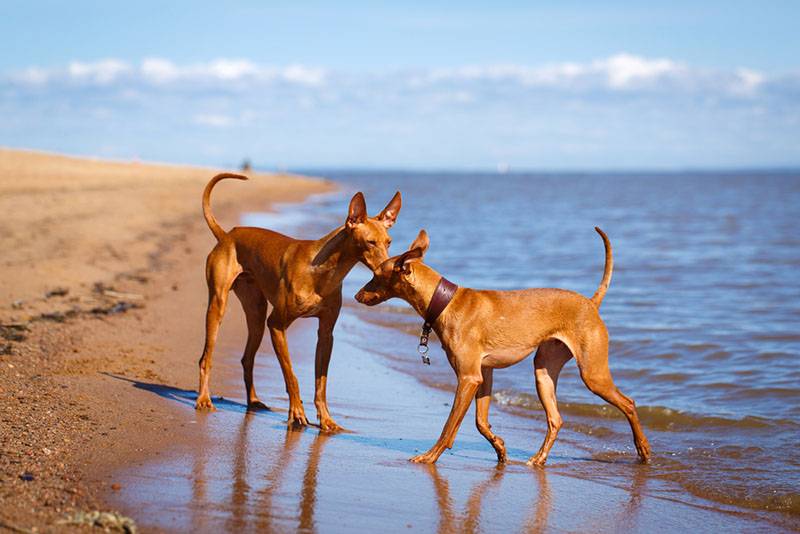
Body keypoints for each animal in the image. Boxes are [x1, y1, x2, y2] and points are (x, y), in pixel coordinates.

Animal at [198, 174, 404, 434]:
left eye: (389, 241)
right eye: (370, 242)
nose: (391, 268)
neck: (324, 272)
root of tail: (227, 235)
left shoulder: (326, 333)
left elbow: (321, 384)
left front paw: (326, 419)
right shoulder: (276, 325)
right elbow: (291, 376)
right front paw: (297, 413)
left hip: (256, 315)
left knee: (247, 359)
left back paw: (253, 401)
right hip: (218, 306)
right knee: (206, 358)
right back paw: (204, 399)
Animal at [354, 228, 648, 466]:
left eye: (375, 275)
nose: (356, 295)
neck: (447, 302)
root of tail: (590, 302)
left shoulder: (469, 377)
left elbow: (450, 426)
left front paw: (430, 456)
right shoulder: (484, 375)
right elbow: (480, 422)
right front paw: (500, 448)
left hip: (592, 374)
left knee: (629, 403)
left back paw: (643, 450)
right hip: (543, 372)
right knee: (556, 419)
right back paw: (538, 459)